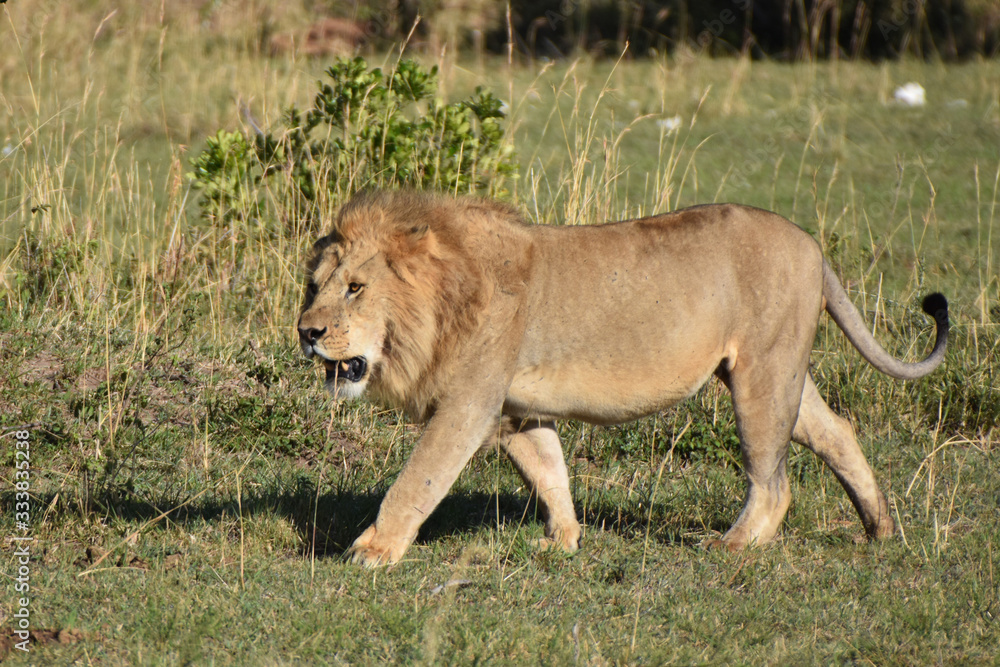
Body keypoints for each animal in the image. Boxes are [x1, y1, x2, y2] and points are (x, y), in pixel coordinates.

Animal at [294, 189, 944, 568]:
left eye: (355, 288)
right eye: (313, 286)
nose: (307, 332)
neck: (439, 301)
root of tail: (812, 245)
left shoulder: (468, 404)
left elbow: (418, 481)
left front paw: (373, 552)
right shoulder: (514, 411)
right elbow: (548, 471)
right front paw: (563, 541)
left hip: (761, 377)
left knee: (773, 480)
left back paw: (734, 546)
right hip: (778, 371)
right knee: (837, 431)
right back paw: (880, 528)